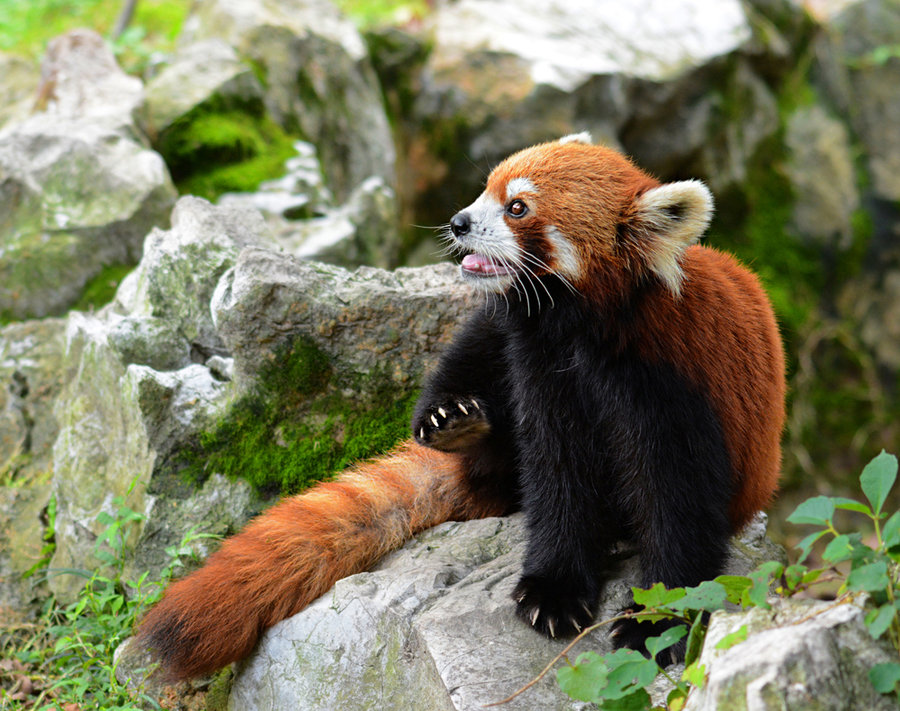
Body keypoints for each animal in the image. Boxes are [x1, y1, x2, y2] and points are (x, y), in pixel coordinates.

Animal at [132, 134, 780, 680]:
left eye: (517, 208)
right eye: (485, 189)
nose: (459, 221)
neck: (576, 330)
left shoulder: (669, 388)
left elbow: (678, 510)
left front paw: (658, 622)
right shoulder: (539, 366)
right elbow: (557, 481)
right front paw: (554, 589)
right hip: (492, 337)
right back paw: (455, 425)